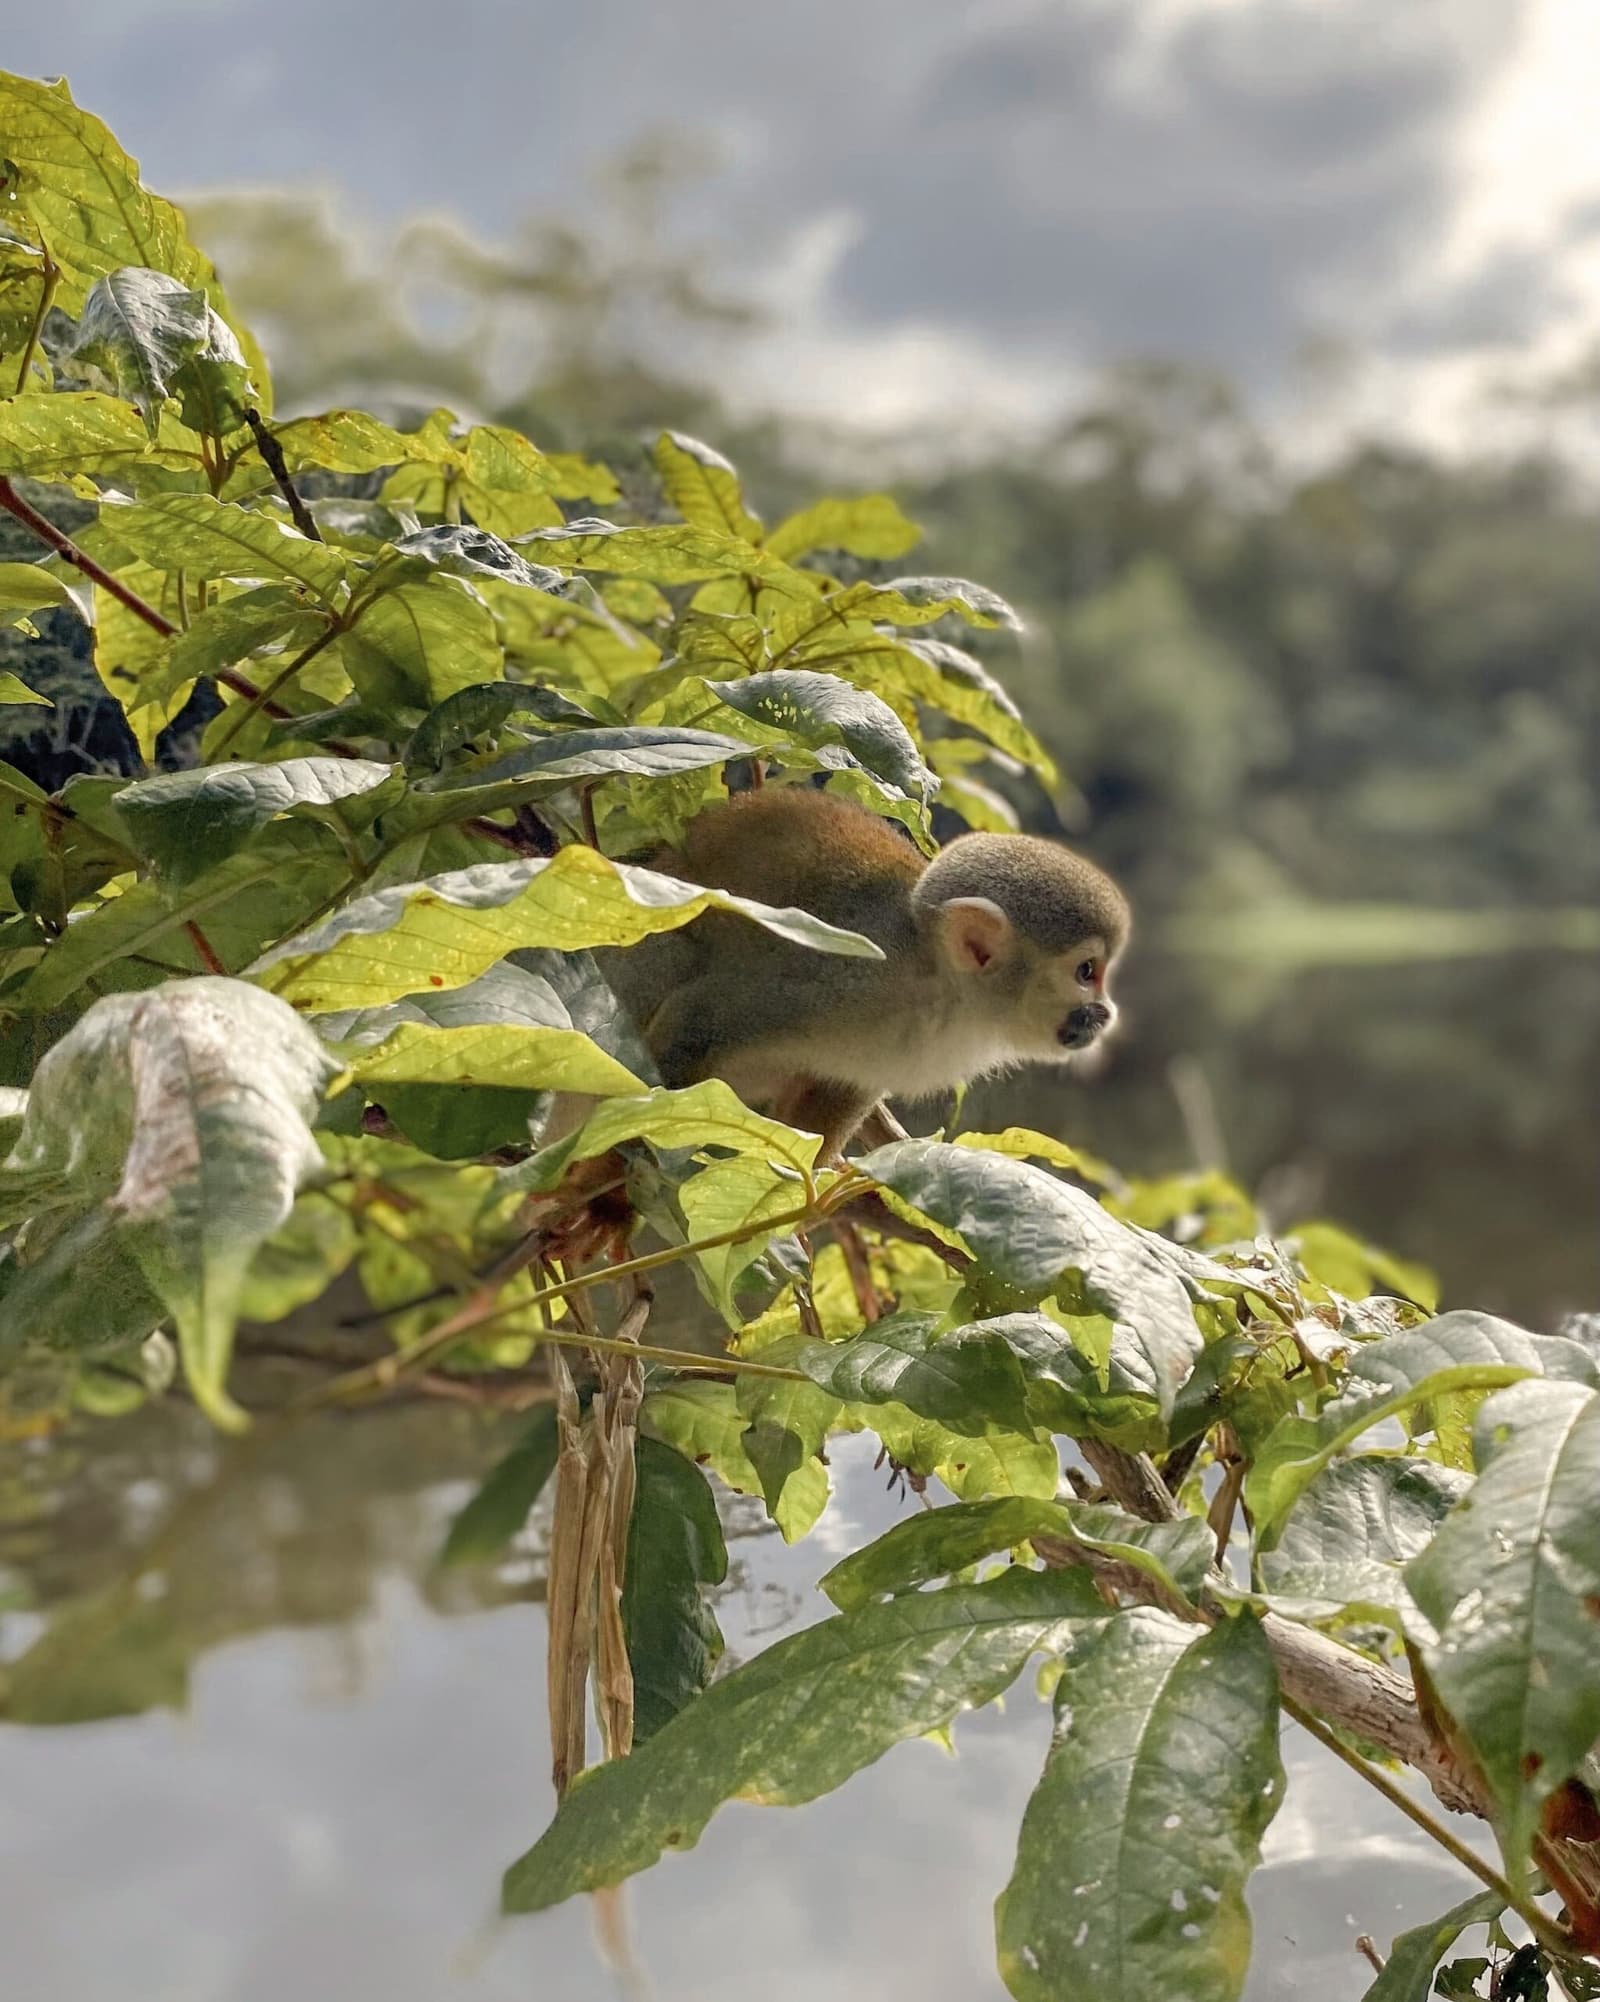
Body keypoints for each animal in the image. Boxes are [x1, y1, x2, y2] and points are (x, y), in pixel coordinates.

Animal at [597, 787, 1129, 1161]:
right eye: (1086, 971)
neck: (937, 989)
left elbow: (833, 1095)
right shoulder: (840, 976)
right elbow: (699, 1021)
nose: (1104, 1012)